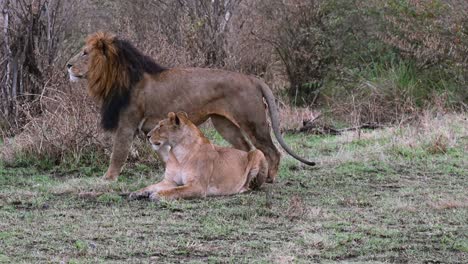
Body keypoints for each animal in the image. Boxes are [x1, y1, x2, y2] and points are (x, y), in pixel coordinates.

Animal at [66, 31, 314, 182]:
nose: (67, 65)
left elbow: (117, 154)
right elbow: (165, 157)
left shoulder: (128, 123)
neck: (115, 78)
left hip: (253, 122)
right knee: (246, 148)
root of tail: (253, 78)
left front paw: (107, 179)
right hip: (224, 124)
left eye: (85, 53)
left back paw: (270, 178)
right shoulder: (149, 130)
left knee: (272, 151)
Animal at [130, 111, 266, 200]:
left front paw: (158, 195)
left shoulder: (198, 186)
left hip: (258, 152)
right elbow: (151, 186)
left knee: (252, 185)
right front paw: (137, 192)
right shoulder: (169, 181)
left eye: (160, 126)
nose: (148, 136)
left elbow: (176, 190)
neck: (178, 153)